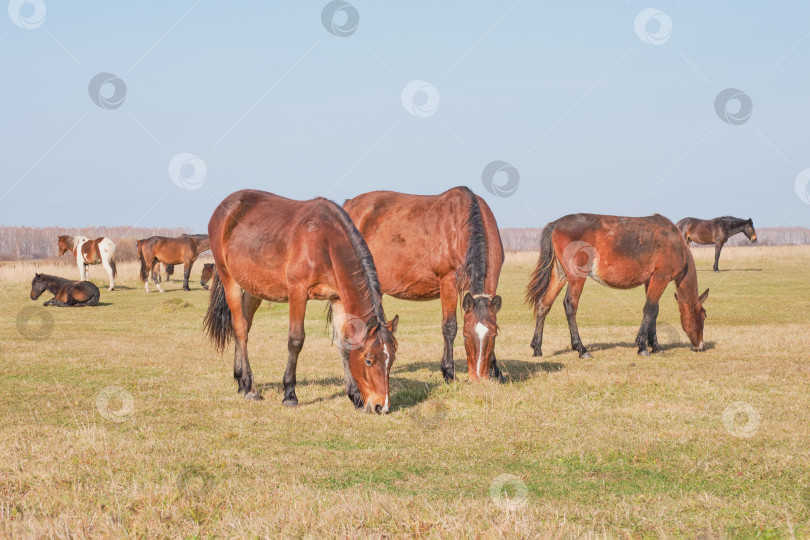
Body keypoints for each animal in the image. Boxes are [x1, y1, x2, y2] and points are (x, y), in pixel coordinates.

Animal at [204, 190, 400, 414]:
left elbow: (344, 344)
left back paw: (240, 382)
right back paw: (249, 387)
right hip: (230, 280)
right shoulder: (297, 293)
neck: (325, 242)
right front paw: (289, 394)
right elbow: (296, 340)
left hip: (254, 289)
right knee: (240, 329)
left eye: (392, 359)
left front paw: (355, 396)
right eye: (369, 360)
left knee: (245, 325)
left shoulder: (338, 299)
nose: (381, 406)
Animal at [342, 188, 504, 382]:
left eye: (494, 337)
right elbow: (449, 327)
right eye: (465, 336)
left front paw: (496, 371)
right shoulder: (448, 282)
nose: (478, 377)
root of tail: (348, 205)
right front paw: (449, 372)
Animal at [524, 214, 708, 358]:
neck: (675, 241)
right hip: (576, 277)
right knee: (570, 305)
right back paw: (582, 349)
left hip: (560, 275)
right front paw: (643, 346)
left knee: (544, 305)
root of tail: (556, 224)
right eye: (704, 315)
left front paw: (655, 345)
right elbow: (650, 309)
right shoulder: (660, 278)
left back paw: (537, 348)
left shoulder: (650, 281)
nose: (701, 345)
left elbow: (654, 311)